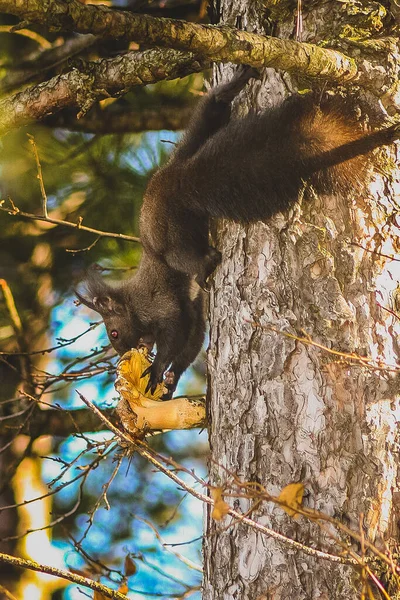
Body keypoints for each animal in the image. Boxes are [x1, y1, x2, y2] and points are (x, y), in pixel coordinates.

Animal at [77, 65, 400, 396]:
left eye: (113, 333)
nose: (124, 351)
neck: (131, 302)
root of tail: (183, 180)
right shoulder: (191, 313)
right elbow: (191, 340)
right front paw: (171, 378)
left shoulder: (158, 304)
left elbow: (176, 332)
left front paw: (157, 369)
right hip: (191, 151)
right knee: (210, 112)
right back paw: (232, 86)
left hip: (173, 232)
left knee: (189, 257)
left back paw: (203, 267)